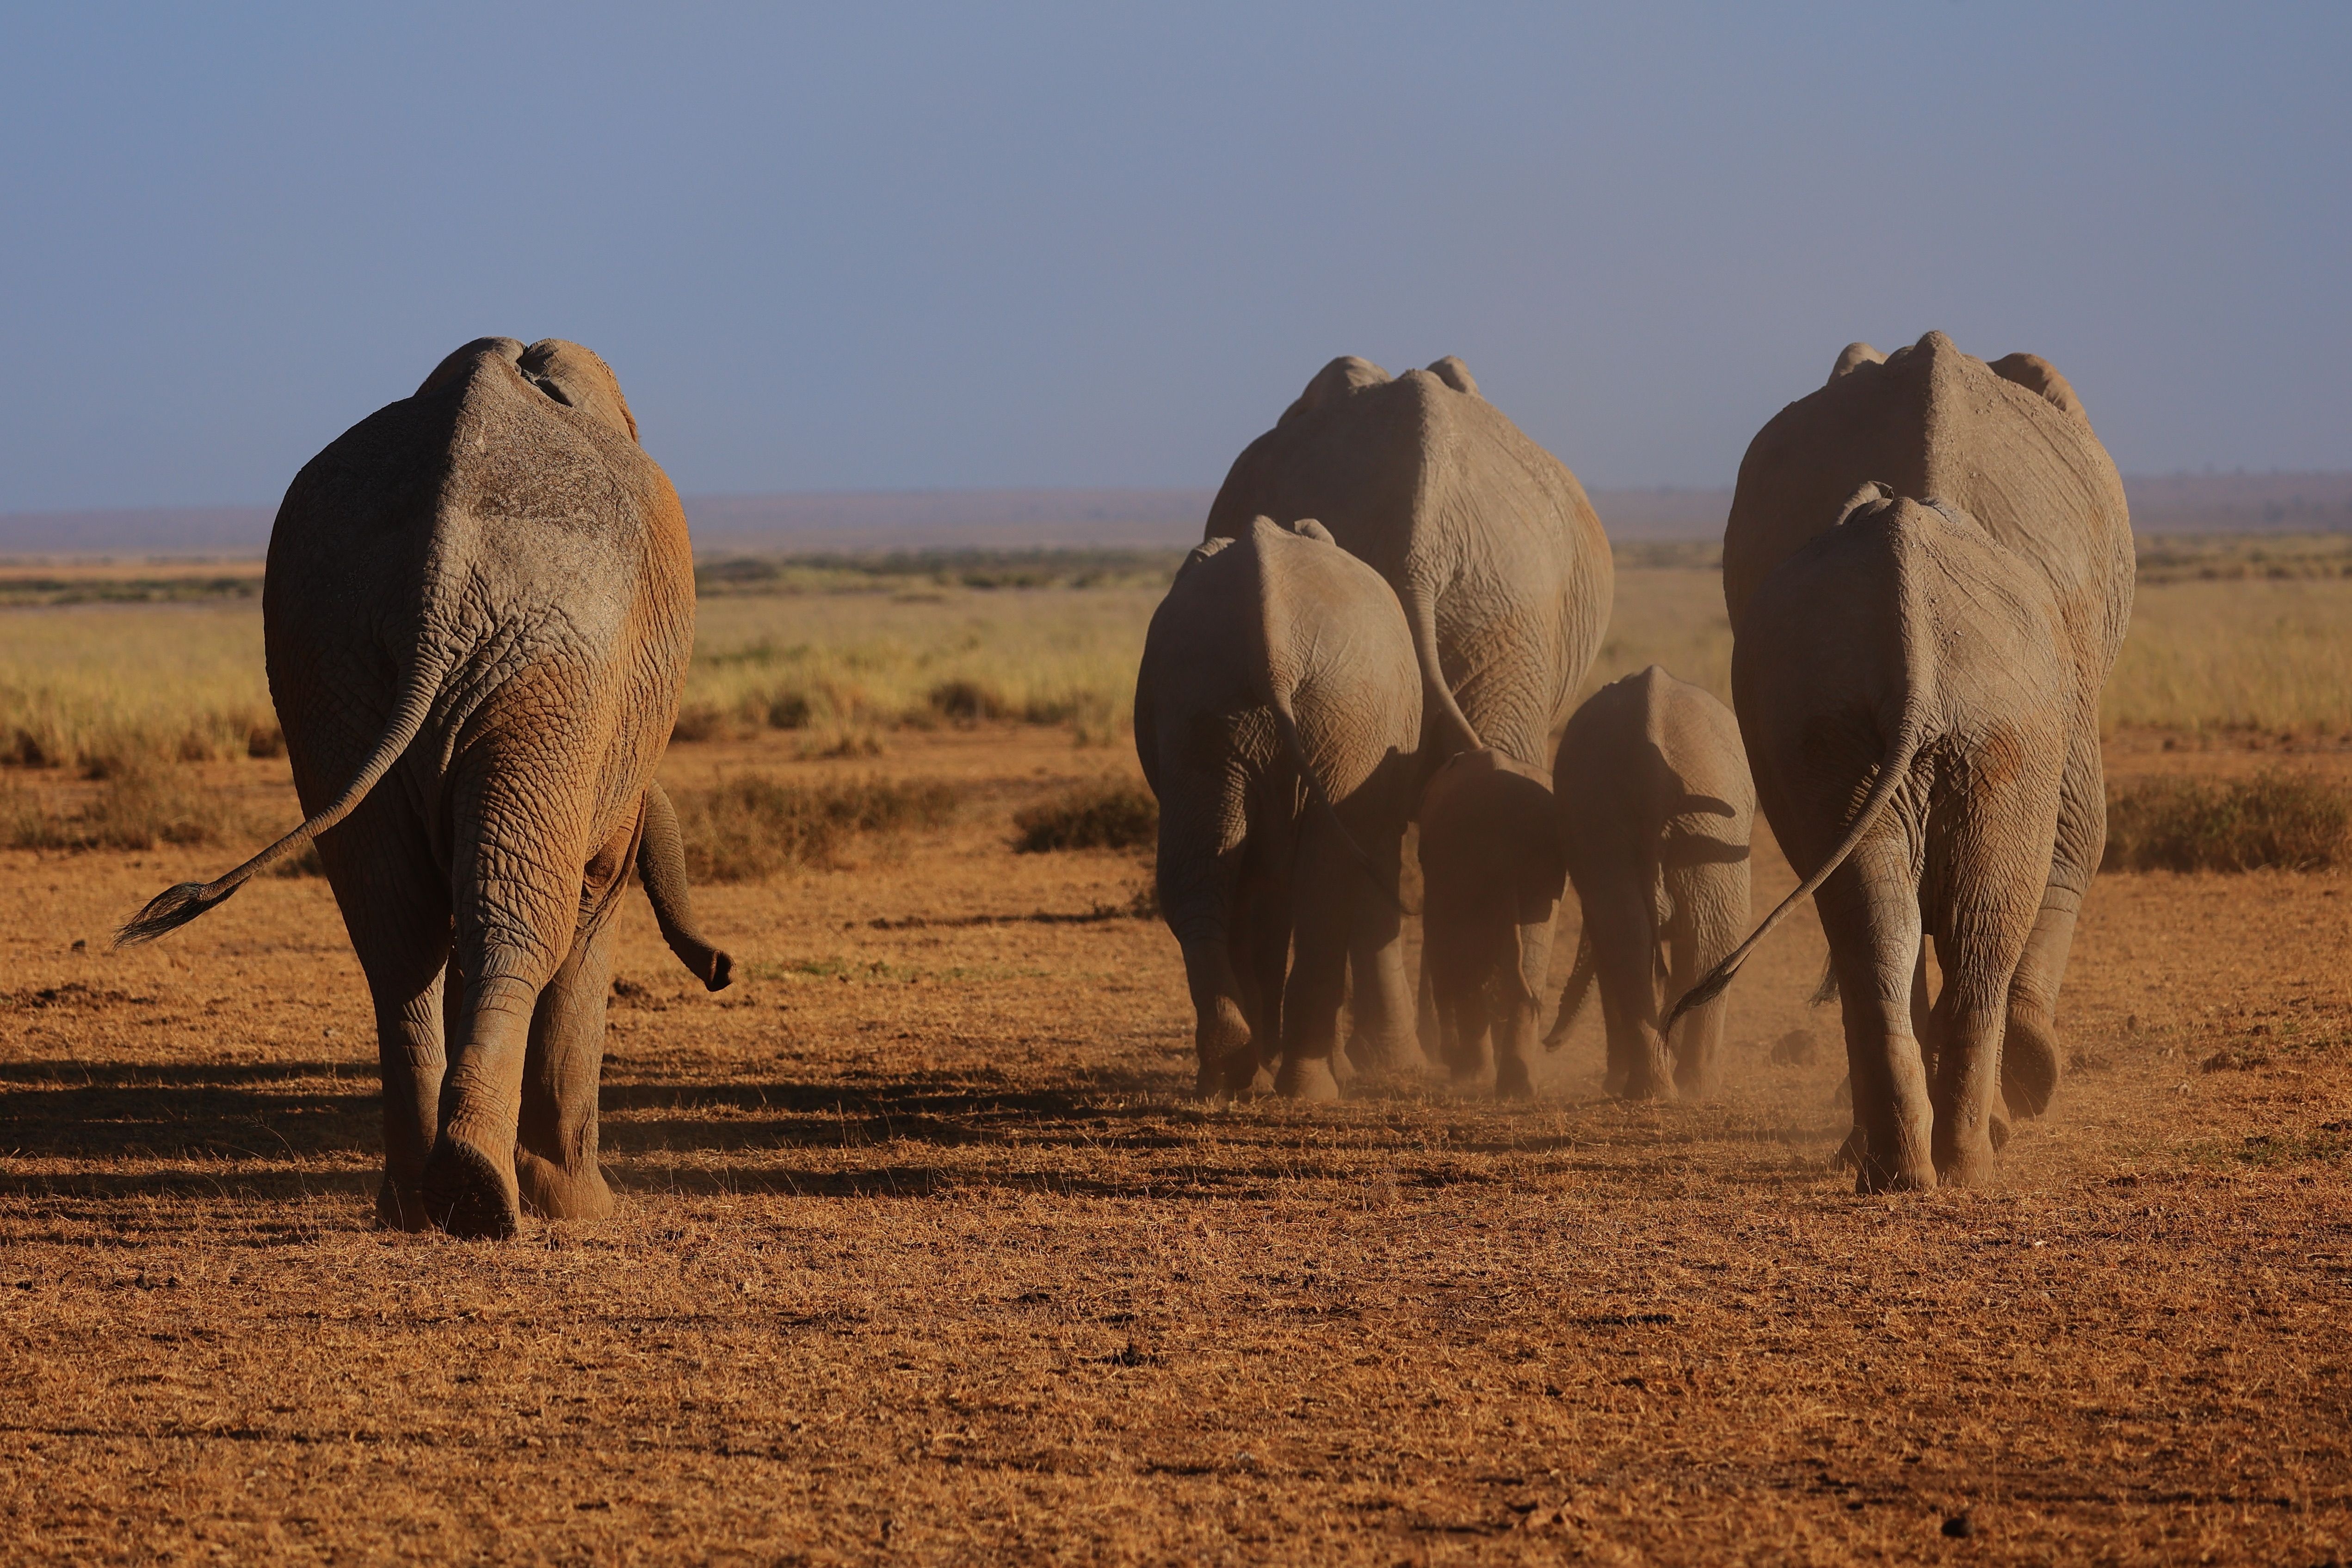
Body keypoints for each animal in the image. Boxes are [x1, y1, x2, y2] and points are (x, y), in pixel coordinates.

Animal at [118, 336, 733, 1239]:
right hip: (551, 668)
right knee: (516, 920)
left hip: (333, 658)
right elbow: (591, 907)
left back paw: (425, 1201)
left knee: (396, 925)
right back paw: (484, 1198)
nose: (722, 969)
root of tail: (441, 575)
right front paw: (581, 1210)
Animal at [1133, 516, 1421, 1100]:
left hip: (1210, 705)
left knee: (1199, 873)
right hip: (1341, 716)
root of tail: (1275, 644)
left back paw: (1227, 1076)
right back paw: (1305, 1088)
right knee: (1323, 886)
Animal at [1545, 666, 1752, 1101]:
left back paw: (1674, 1088)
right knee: (1686, 934)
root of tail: (1652, 774)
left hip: (1651, 819)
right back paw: (1675, 1088)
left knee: (1652, 934)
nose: (1549, 1044)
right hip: (1659, 820)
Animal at [1679, 489, 2071, 1191]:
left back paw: (1928, 1173)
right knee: (1937, 927)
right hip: (1904, 733)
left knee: (1933, 926)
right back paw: (1938, 1171)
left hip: (1962, 731)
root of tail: (1914, 653)